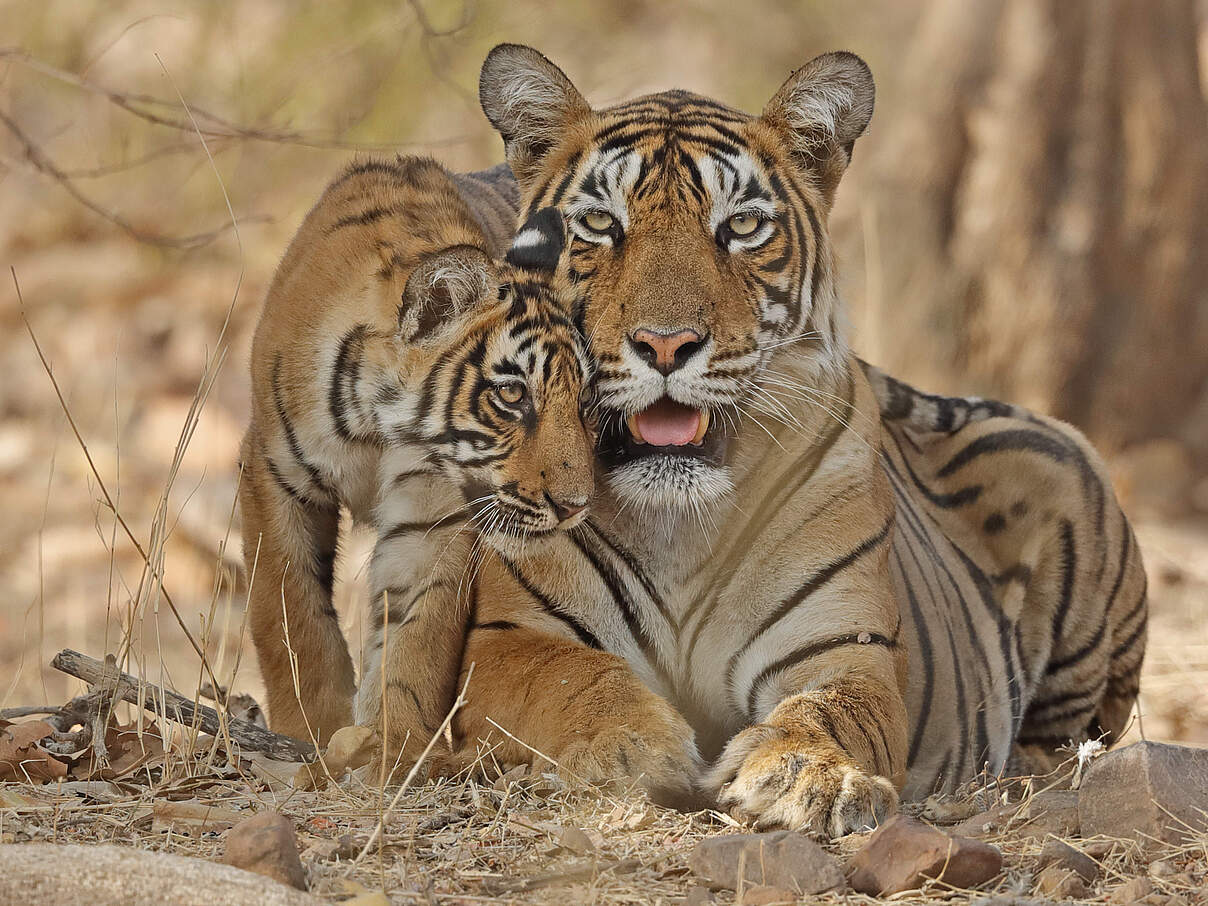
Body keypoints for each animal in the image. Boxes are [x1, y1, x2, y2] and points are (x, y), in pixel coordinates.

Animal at [434, 44, 1140, 835]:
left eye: (741, 226)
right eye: (597, 222)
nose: (666, 343)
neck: (678, 524)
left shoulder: (843, 647)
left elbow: (830, 710)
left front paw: (806, 775)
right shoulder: (508, 638)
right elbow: (567, 681)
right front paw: (628, 748)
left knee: (1073, 740)